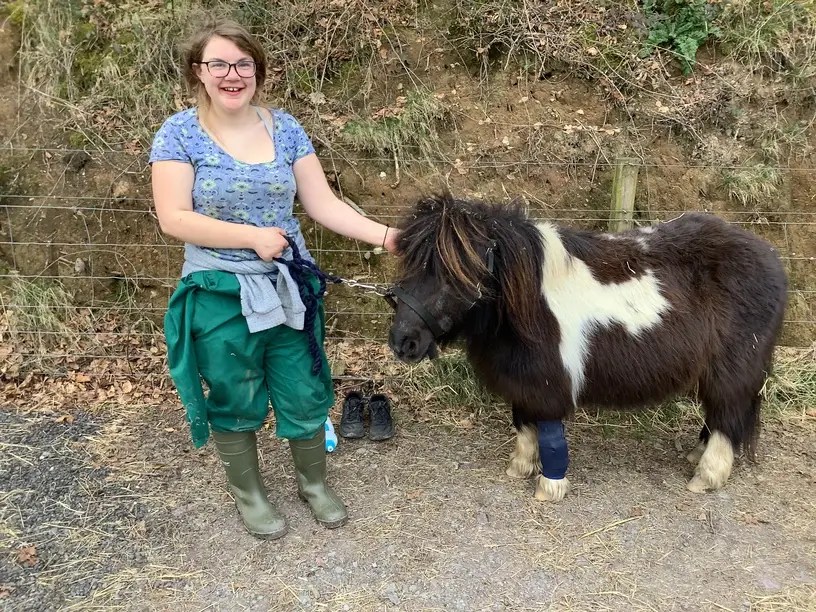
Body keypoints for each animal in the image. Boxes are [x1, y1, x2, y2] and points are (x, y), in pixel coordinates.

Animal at [387, 194, 787, 501]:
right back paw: (695, 455)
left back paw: (705, 476)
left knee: (727, 419)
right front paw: (521, 467)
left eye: (450, 273)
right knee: (720, 416)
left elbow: (547, 430)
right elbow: (524, 423)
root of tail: (772, 259)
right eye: (410, 264)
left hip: (735, 371)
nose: (403, 342)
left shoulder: (548, 382)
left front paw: (549, 486)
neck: (531, 300)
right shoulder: (523, 379)